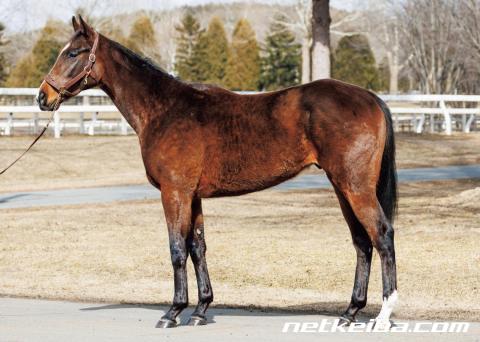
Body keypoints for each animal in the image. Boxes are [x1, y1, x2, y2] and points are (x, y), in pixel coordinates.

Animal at [37, 16, 400, 328]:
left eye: (73, 53)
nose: (43, 96)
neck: (164, 110)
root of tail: (371, 98)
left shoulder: (174, 192)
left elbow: (177, 249)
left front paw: (173, 311)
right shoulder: (193, 196)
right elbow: (198, 248)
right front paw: (200, 309)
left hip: (355, 187)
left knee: (382, 236)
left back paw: (384, 314)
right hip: (342, 187)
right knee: (361, 242)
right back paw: (350, 312)